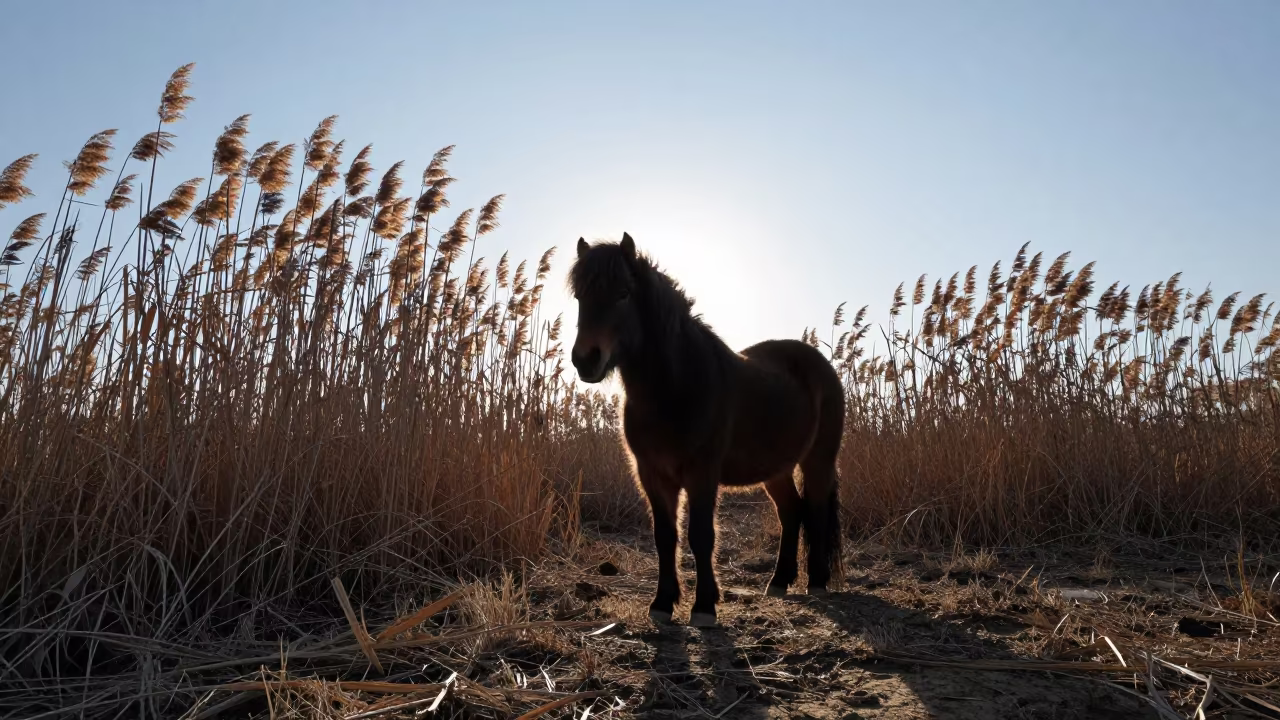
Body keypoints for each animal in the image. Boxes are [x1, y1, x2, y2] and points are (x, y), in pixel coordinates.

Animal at [568, 233, 845, 627]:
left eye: (623, 293)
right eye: (580, 297)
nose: (585, 360)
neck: (676, 388)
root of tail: (818, 363)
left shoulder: (702, 474)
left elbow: (701, 536)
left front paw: (703, 607)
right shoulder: (653, 475)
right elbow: (665, 537)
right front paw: (662, 604)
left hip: (818, 460)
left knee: (817, 510)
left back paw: (818, 582)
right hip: (776, 469)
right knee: (792, 512)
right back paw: (779, 581)